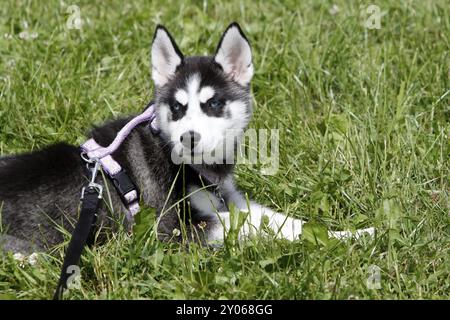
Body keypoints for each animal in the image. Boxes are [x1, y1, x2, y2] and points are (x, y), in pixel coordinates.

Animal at [0, 21, 304, 254]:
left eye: (214, 103)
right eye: (178, 108)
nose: (188, 139)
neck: (196, 167)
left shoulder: (228, 195)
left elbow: (265, 216)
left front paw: (310, 228)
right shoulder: (173, 227)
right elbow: (245, 224)